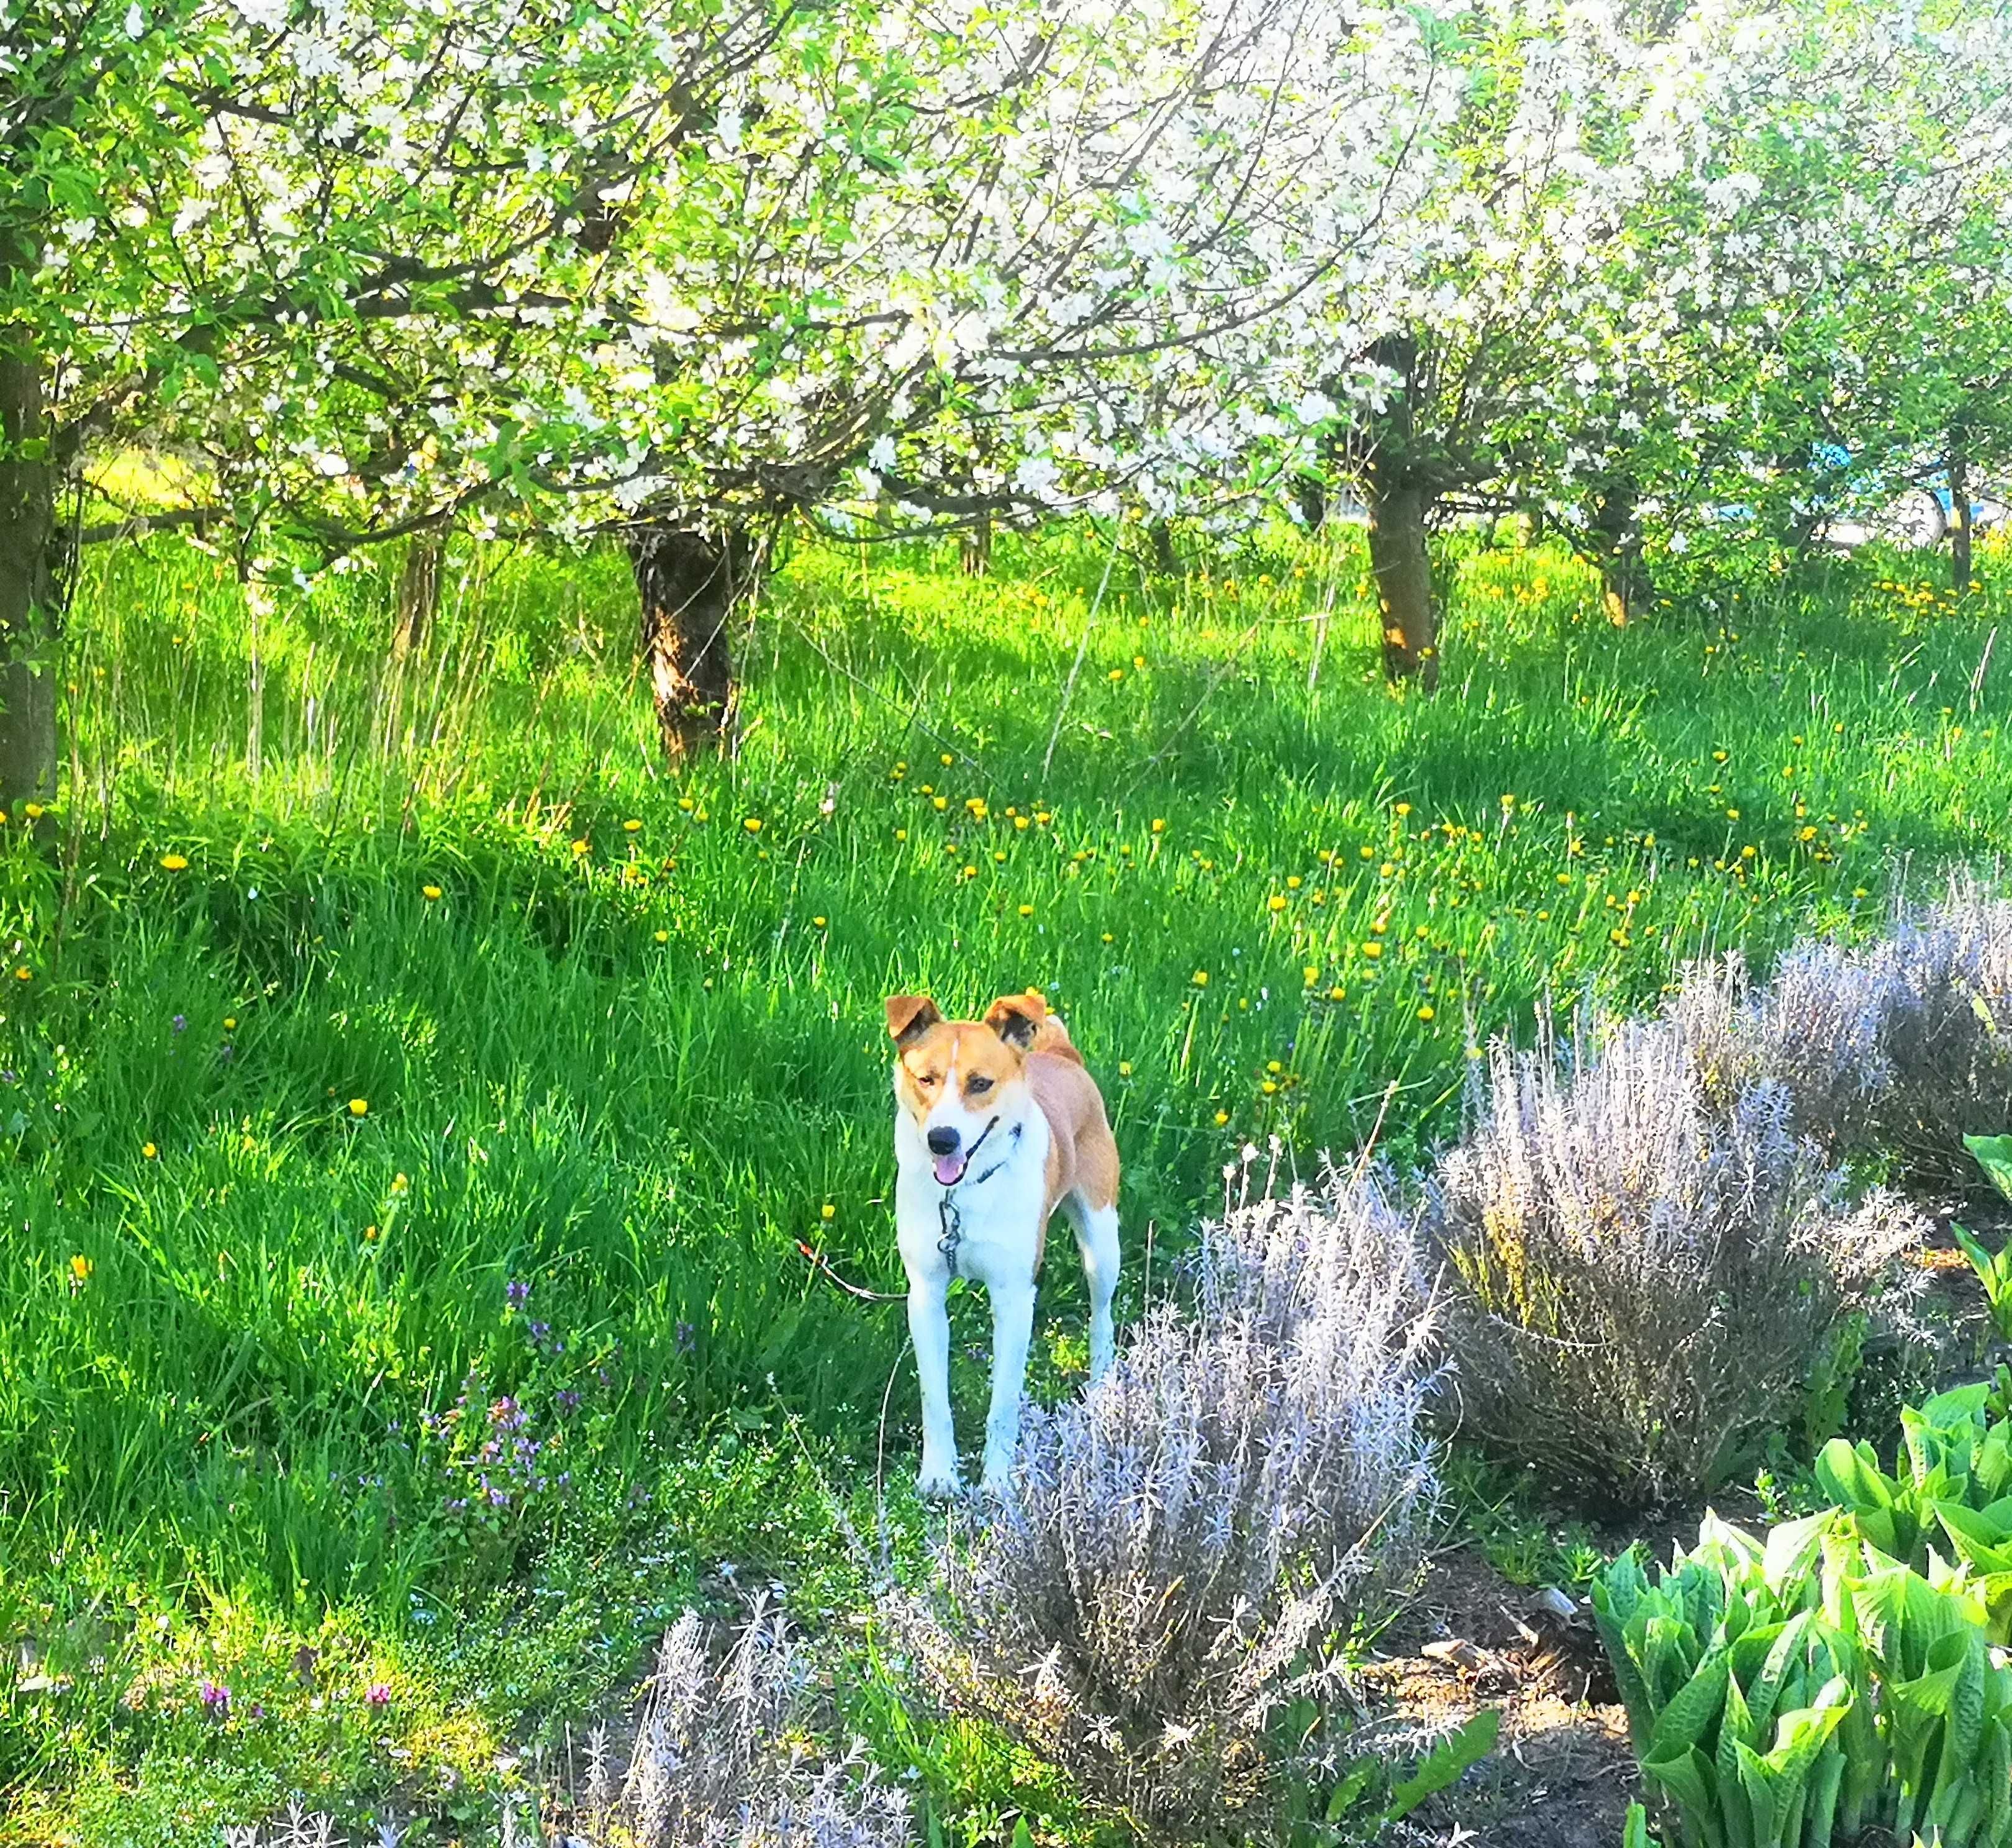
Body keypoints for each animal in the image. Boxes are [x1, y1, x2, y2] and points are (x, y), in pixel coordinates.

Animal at [889, 989, 1126, 1496]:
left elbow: (1003, 1403)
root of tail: (1061, 1054)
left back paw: (1102, 1391)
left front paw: (999, 1480)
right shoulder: (925, 1295)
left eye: (981, 1083)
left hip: (1102, 1241)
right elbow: (934, 1399)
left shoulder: (1014, 1299)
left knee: (1102, 1316)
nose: (942, 1140)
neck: (964, 1193)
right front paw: (939, 1474)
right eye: (926, 1079)